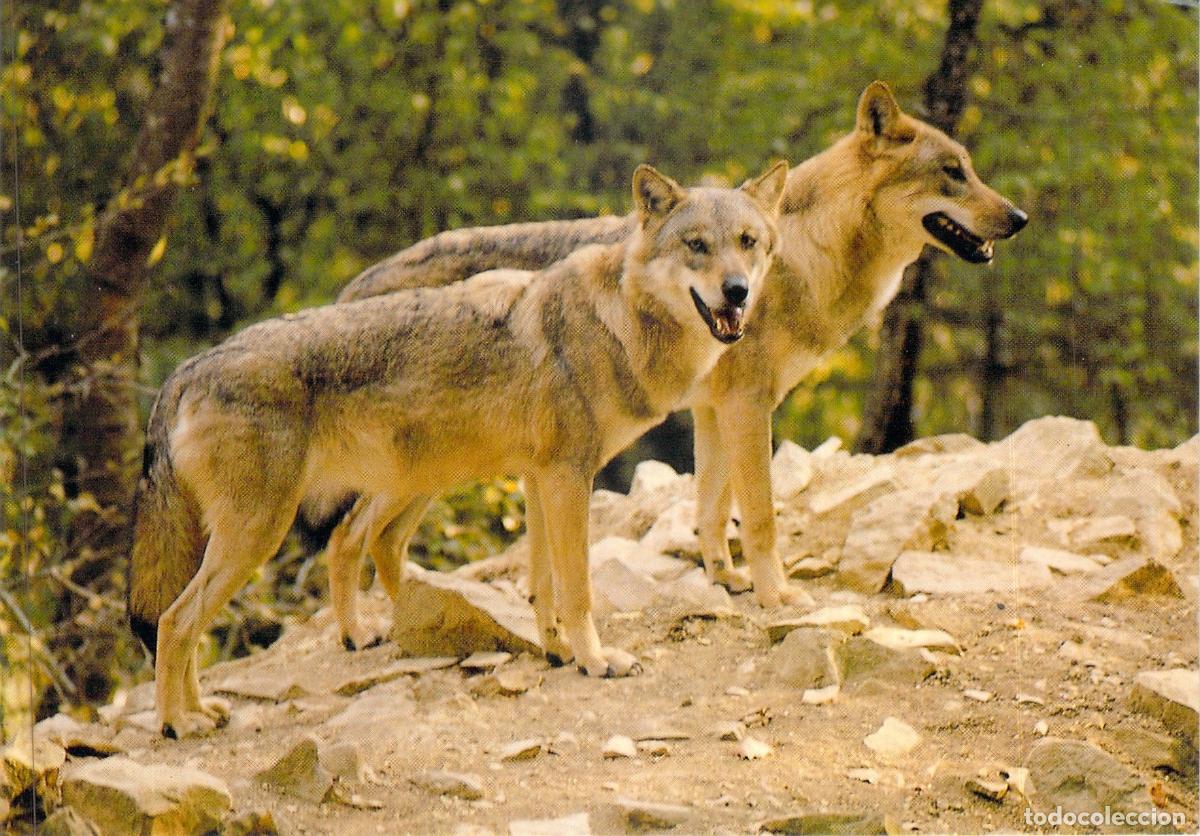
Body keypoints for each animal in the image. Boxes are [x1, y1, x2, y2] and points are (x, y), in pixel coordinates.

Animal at [127, 162, 787, 737]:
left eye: (747, 242)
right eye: (696, 245)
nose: (736, 292)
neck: (616, 321)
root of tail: (187, 370)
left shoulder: (541, 479)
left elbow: (542, 586)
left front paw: (556, 652)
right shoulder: (569, 477)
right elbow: (577, 589)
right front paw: (597, 662)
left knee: (198, 617)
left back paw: (204, 711)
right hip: (263, 532)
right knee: (176, 622)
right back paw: (177, 724)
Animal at [330, 82, 1027, 619]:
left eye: (970, 169)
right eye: (953, 173)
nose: (1019, 218)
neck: (801, 259)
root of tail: (358, 285)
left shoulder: (714, 411)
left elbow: (713, 509)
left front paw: (726, 579)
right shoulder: (749, 406)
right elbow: (762, 516)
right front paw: (777, 596)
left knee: (381, 543)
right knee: (350, 537)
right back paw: (370, 635)